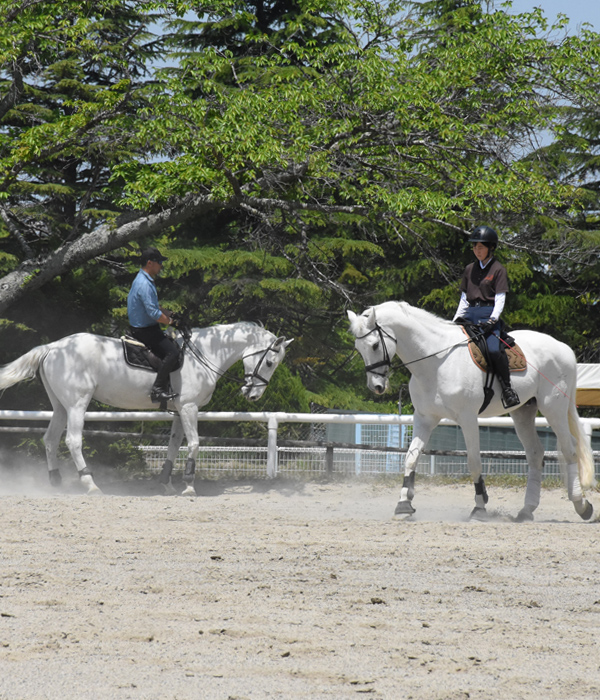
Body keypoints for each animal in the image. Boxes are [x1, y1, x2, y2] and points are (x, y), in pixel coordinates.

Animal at [0, 320, 292, 494]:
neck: (205, 353)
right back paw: (90, 483)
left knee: (50, 439)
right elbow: (195, 443)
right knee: (72, 440)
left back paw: (55, 482)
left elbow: (174, 444)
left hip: (60, 406)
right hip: (76, 404)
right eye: (269, 362)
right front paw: (189, 485)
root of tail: (53, 347)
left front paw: (166, 483)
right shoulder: (189, 408)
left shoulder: (179, 410)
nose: (253, 395)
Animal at [346, 300, 596, 520]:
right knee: (535, 454)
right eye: (358, 348)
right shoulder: (424, 418)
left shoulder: (467, 419)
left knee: (570, 449)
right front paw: (403, 504)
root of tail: (563, 348)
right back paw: (527, 511)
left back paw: (582, 506)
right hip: (523, 412)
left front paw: (479, 507)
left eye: (375, 345)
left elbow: (474, 462)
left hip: (553, 408)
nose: (376, 387)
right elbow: (410, 457)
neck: (437, 361)